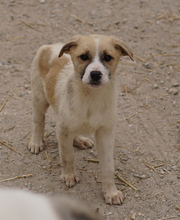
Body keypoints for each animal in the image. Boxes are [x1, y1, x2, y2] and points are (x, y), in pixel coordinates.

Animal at [28, 34, 134, 205]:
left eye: (108, 57)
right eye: (83, 57)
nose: (95, 74)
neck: (91, 97)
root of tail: (49, 46)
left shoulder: (105, 132)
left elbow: (108, 167)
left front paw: (110, 192)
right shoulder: (63, 129)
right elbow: (67, 155)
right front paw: (69, 176)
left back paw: (79, 139)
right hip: (39, 98)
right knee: (38, 121)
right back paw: (36, 142)